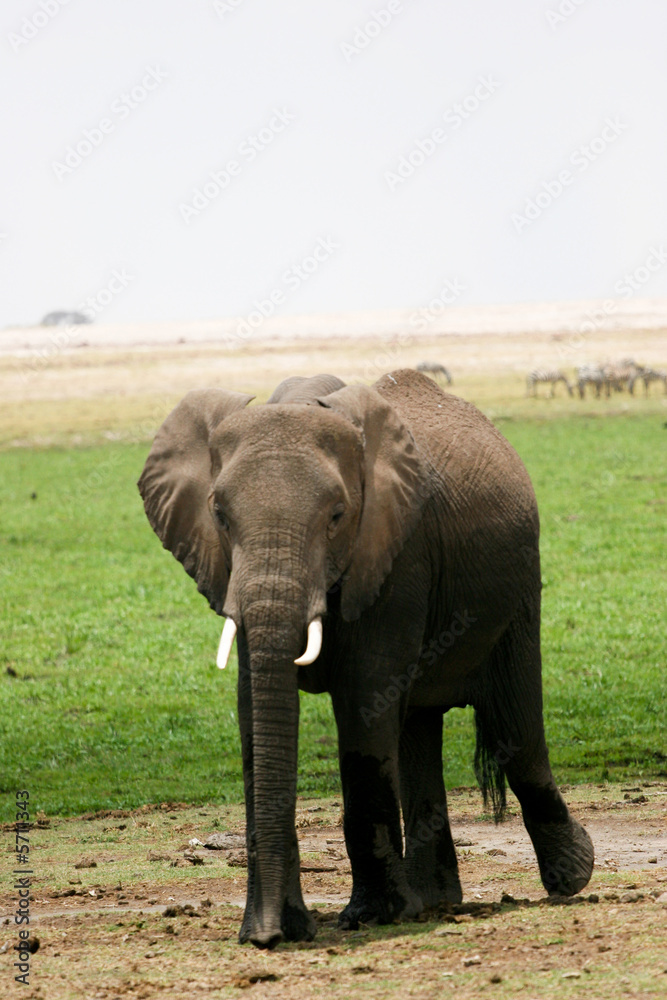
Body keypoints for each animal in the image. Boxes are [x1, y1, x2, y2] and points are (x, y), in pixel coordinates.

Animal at [140, 372, 596, 948]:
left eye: (337, 516)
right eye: (219, 516)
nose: (269, 937)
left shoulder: (397, 553)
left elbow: (364, 701)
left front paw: (371, 916)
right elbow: (252, 711)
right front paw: (277, 929)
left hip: (519, 587)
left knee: (515, 729)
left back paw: (570, 877)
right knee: (418, 727)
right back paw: (435, 900)